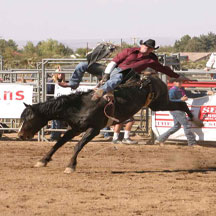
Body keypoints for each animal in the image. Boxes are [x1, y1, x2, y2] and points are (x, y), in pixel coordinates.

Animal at [18, 74, 202, 174]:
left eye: (29, 118)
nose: (20, 135)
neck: (80, 105)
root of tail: (152, 78)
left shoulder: (94, 129)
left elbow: (77, 145)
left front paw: (70, 166)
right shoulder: (75, 128)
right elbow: (58, 143)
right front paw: (43, 160)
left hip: (160, 103)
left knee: (181, 104)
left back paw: (196, 120)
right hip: (157, 104)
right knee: (180, 104)